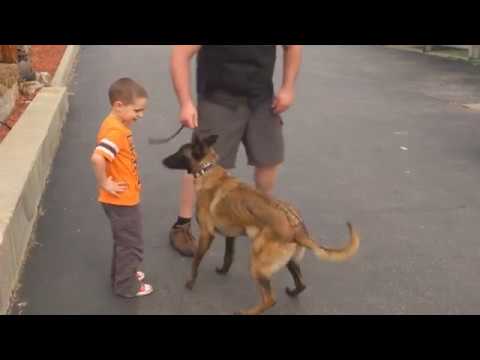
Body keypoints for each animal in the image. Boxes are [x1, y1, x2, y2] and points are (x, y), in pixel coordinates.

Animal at [163, 134, 358, 314]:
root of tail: (297, 228)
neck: (207, 170)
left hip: (257, 266)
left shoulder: (206, 234)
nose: (163, 160)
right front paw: (223, 271)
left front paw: (190, 282)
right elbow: (228, 256)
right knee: (301, 284)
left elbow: (196, 262)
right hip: (288, 261)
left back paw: (247, 312)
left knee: (270, 300)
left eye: (179, 153)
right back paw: (292, 292)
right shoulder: (231, 234)